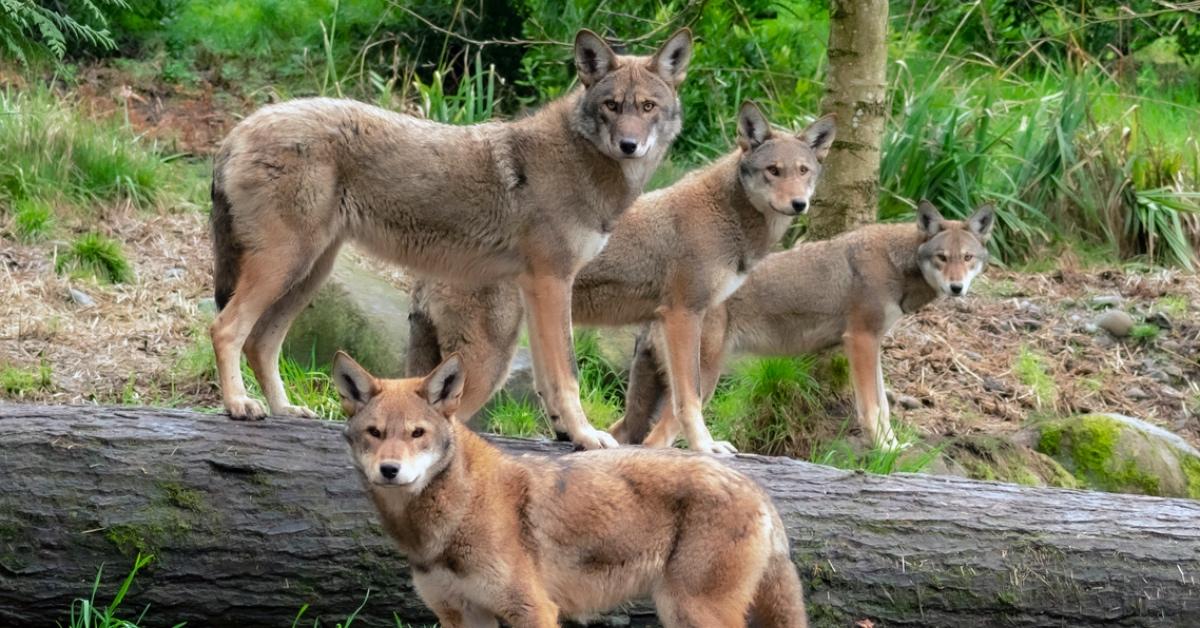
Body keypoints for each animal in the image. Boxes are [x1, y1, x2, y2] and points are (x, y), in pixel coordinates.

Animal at [210, 27, 691, 449]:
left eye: (648, 106)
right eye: (612, 105)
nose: (629, 145)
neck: (581, 163)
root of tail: (240, 128)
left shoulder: (540, 288)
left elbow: (549, 378)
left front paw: (568, 434)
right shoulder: (553, 282)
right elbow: (568, 375)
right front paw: (588, 436)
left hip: (309, 273)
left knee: (261, 342)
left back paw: (284, 409)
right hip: (287, 266)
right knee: (226, 328)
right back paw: (238, 404)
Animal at [333, 350, 811, 628]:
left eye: (417, 433)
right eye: (375, 433)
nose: (390, 470)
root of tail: (756, 488)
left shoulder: (535, 611)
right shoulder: (462, 617)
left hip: (690, 612)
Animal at [408, 104, 830, 456]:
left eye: (803, 171)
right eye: (773, 170)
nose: (799, 204)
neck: (726, 214)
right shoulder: (684, 316)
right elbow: (688, 399)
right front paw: (705, 448)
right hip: (489, 363)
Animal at [619, 201, 993, 451]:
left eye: (967, 258)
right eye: (942, 258)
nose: (957, 287)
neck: (895, 262)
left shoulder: (874, 344)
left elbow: (885, 408)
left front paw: (893, 447)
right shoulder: (860, 340)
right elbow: (871, 408)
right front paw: (881, 449)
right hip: (704, 382)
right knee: (657, 439)